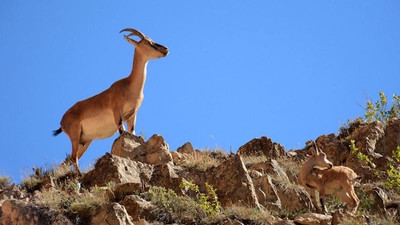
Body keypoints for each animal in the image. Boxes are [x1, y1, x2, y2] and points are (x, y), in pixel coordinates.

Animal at [52, 27, 168, 172]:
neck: (129, 86)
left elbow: (132, 132)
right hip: (75, 135)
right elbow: (122, 131)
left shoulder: (132, 114)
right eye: (147, 42)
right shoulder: (116, 112)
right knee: (73, 158)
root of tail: (62, 121)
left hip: (85, 141)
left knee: (68, 160)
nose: (165, 49)